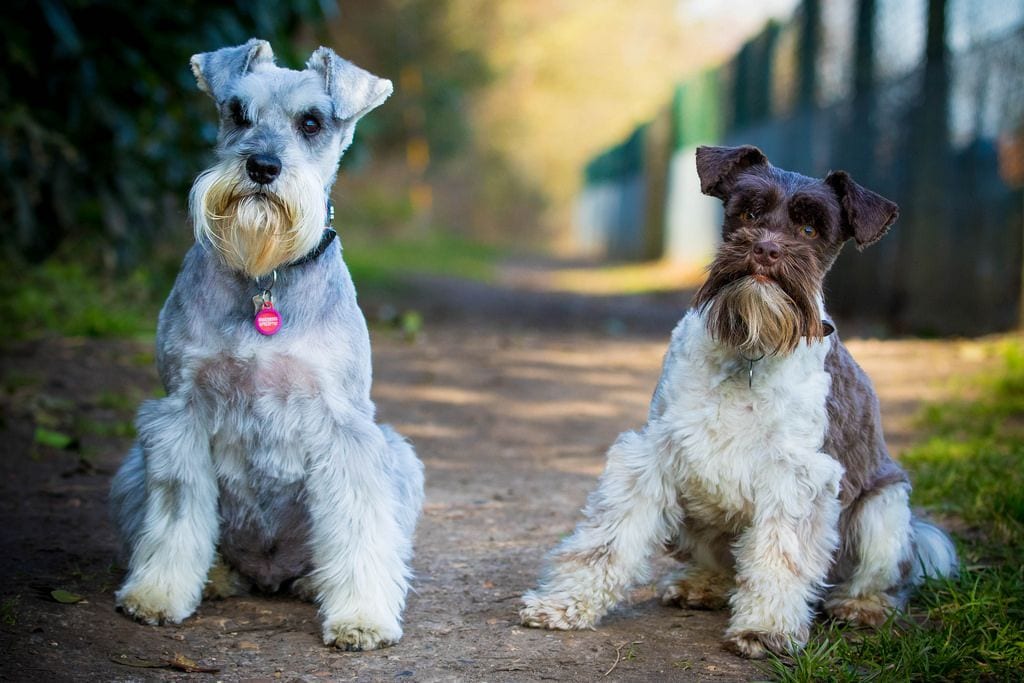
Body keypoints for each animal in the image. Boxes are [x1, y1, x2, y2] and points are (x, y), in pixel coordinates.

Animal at [107, 38, 419, 651]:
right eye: (237, 112)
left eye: (312, 122)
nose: (262, 167)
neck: (264, 276)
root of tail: (268, 572)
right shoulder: (179, 414)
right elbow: (176, 512)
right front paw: (157, 595)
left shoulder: (346, 428)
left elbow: (359, 523)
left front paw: (362, 618)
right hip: (134, 465)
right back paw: (217, 576)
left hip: (400, 457)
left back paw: (313, 583)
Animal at [520, 147, 958, 659]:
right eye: (748, 213)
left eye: (811, 230)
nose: (765, 250)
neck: (749, 347)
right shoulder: (652, 454)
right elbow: (606, 540)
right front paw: (564, 603)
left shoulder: (798, 477)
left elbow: (781, 555)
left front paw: (766, 629)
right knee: (721, 565)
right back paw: (701, 585)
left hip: (883, 509)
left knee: (883, 576)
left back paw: (862, 606)